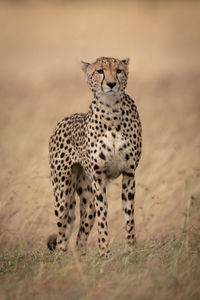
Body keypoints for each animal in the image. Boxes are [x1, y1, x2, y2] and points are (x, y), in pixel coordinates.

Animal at [47, 56, 142, 258]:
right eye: (100, 71)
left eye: (119, 70)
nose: (111, 84)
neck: (111, 111)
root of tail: (65, 119)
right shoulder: (99, 178)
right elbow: (103, 218)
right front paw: (105, 253)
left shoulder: (129, 173)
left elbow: (129, 216)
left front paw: (131, 249)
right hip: (62, 193)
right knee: (62, 233)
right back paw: (61, 256)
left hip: (87, 195)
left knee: (80, 237)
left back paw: (82, 258)